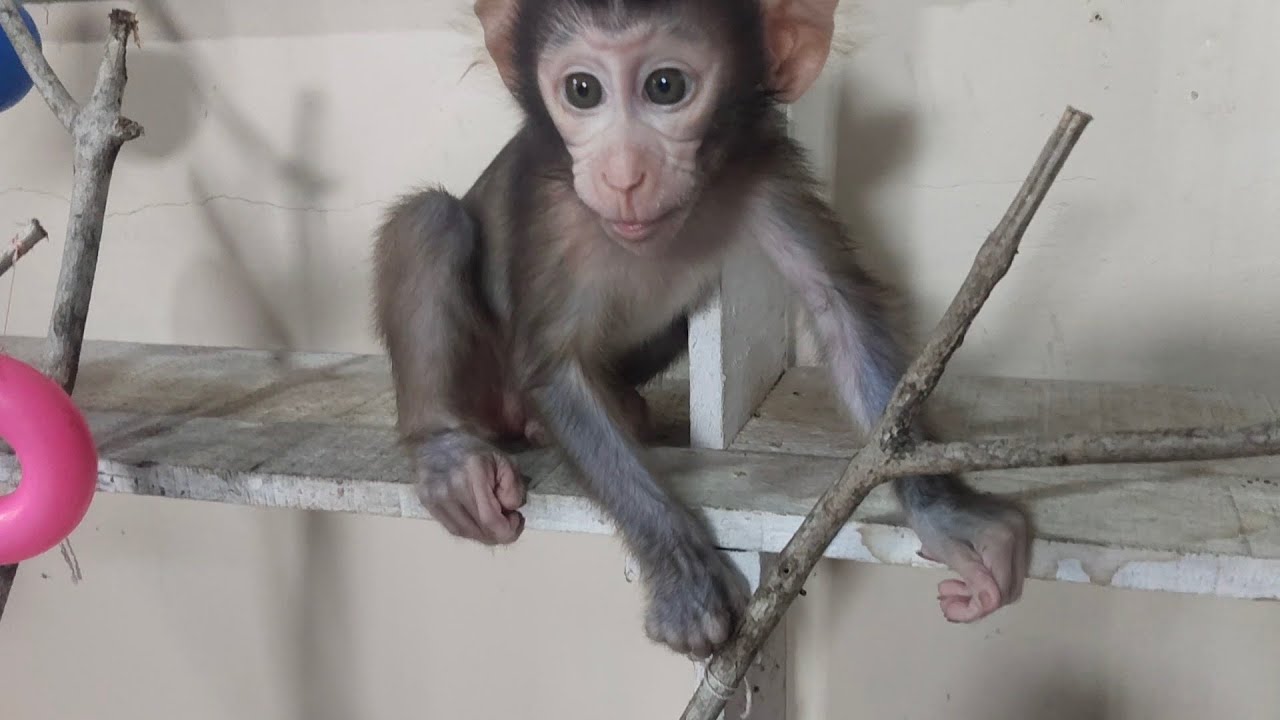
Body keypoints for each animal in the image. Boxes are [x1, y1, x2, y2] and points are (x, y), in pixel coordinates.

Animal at [372, 0, 1030, 659]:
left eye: (666, 87)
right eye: (582, 91)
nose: (623, 175)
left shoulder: (763, 167)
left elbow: (839, 308)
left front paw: (949, 515)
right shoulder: (557, 209)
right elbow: (553, 369)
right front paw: (684, 575)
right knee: (431, 220)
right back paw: (450, 455)